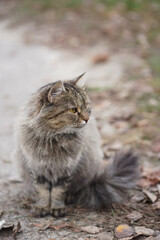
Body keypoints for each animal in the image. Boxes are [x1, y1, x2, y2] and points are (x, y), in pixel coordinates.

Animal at [14, 73, 139, 218]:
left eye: (86, 107)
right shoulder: (37, 167)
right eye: (73, 110)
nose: (87, 119)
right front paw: (42, 207)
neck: (53, 137)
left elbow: (58, 191)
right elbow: (42, 191)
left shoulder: (66, 169)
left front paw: (57, 207)